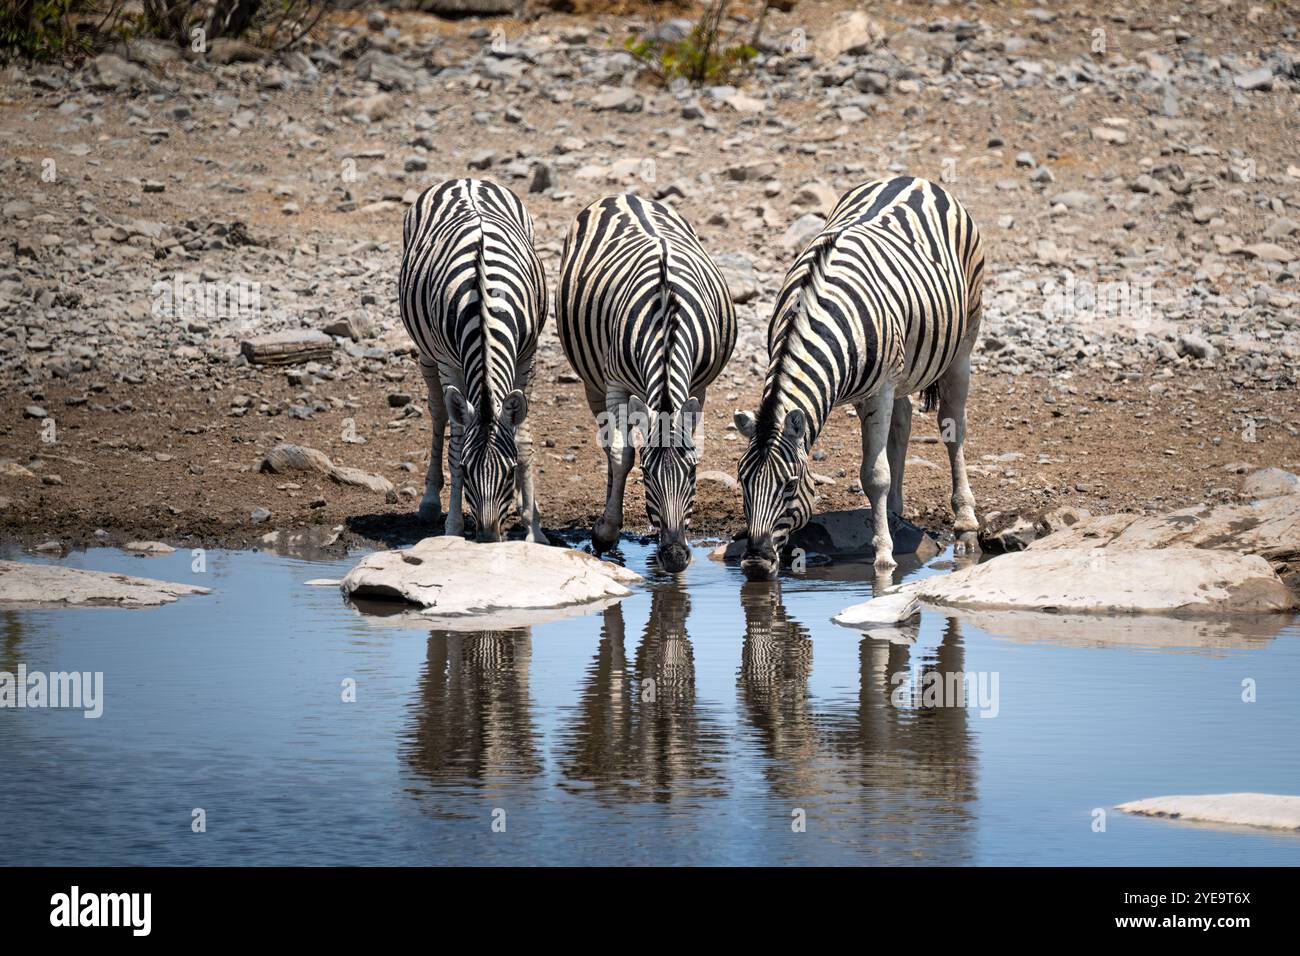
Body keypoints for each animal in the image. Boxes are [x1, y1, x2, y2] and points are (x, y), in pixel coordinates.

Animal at [397, 175, 546, 541]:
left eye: (509, 472)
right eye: (466, 471)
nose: (487, 539)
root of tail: (466, 179)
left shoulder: (528, 355)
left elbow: (523, 440)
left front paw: (533, 528)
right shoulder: (449, 363)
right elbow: (456, 443)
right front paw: (452, 527)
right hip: (427, 353)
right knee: (439, 413)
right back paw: (429, 502)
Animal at [559, 191, 738, 572]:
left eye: (693, 474)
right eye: (647, 476)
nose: (675, 558)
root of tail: (623, 195)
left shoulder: (697, 386)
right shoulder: (615, 384)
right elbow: (621, 454)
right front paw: (606, 532)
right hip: (592, 381)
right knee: (608, 443)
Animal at [738, 178, 977, 582]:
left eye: (789, 485)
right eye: (742, 482)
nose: (755, 564)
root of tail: (914, 179)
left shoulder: (879, 391)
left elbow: (874, 474)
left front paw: (883, 559)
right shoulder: (884, 386)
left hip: (963, 343)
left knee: (953, 426)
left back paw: (965, 520)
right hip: (903, 368)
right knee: (903, 420)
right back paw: (895, 512)